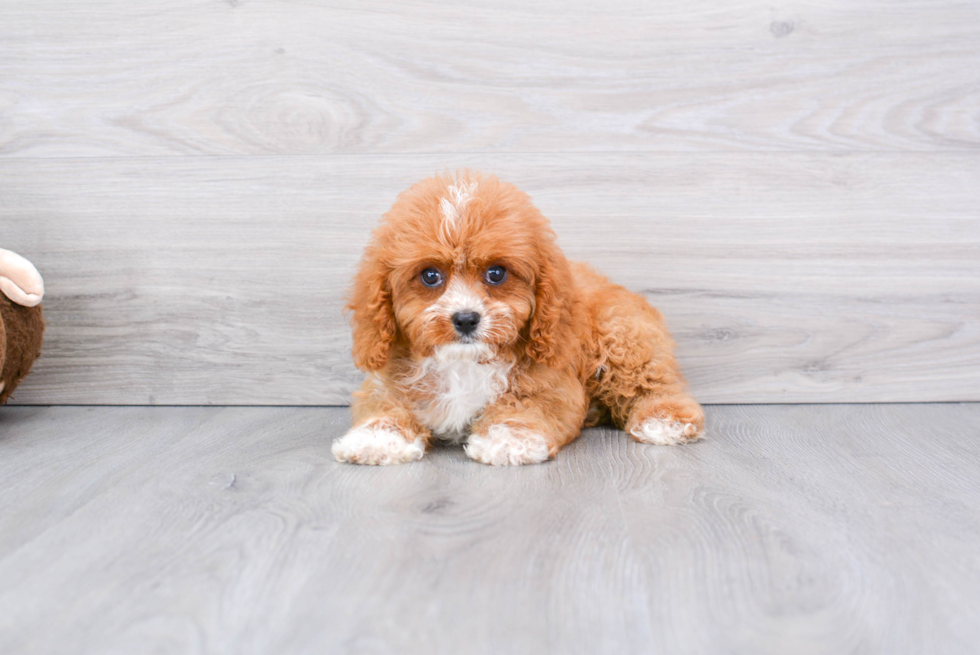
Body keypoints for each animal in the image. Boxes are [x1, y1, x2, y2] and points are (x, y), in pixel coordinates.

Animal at [334, 169, 700, 466]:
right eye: (429, 276)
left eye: (496, 273)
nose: (465, 319)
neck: (464, 361)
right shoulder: (385, 382)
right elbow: (384, 406)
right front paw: (376, 438)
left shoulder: (551, 383)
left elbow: (526, 406)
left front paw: (509, 438)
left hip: (623, 338)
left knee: (652, 383)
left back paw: (665, 420)